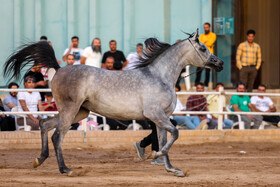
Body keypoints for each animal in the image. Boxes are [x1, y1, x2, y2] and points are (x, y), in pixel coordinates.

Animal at [3, 29, 223, 177]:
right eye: (203, 48)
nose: (219, 63)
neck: (159, 76)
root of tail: (58, 69)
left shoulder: (161, 118)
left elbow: (163, 138)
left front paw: (171, 168)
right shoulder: (155, 115)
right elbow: (174, 134)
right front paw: (157, 156)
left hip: (79, 112)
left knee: (44, 124)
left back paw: (39, 160)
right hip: (71, 110)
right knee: (57, 136)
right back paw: (65, 169)